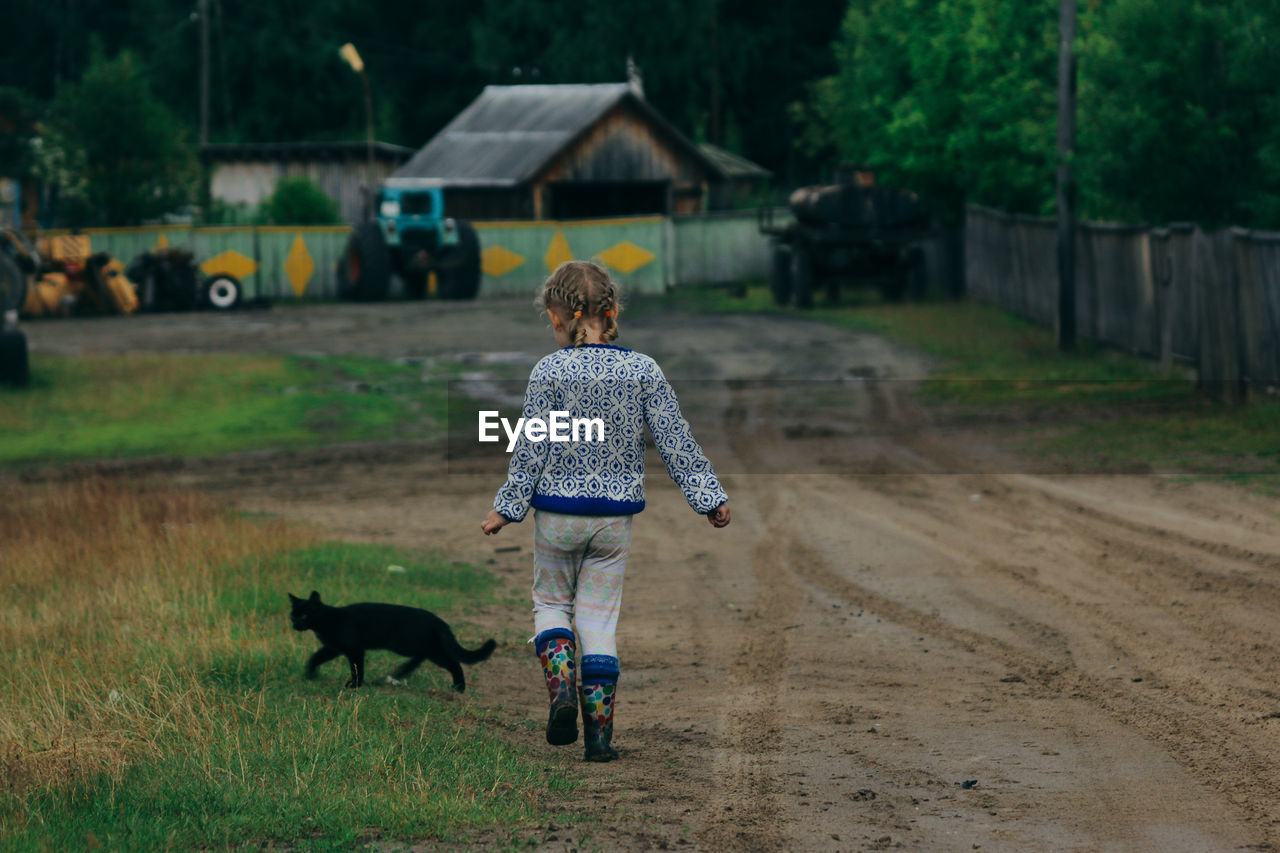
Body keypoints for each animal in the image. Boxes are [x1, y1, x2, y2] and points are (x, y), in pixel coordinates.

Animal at [289, 591, 494, 691]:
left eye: (305, 615)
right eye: (293, 615)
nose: (295, 625)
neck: (327, 620)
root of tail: (437, 619)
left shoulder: (354, 649)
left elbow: (357, 668)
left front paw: (354, 685)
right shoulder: (334, 647)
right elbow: (316, 657)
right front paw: (310, 674)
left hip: (409, 645)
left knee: (452, 662)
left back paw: (459, 687)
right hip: (413, 646)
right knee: (423, 657)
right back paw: (402, 672)